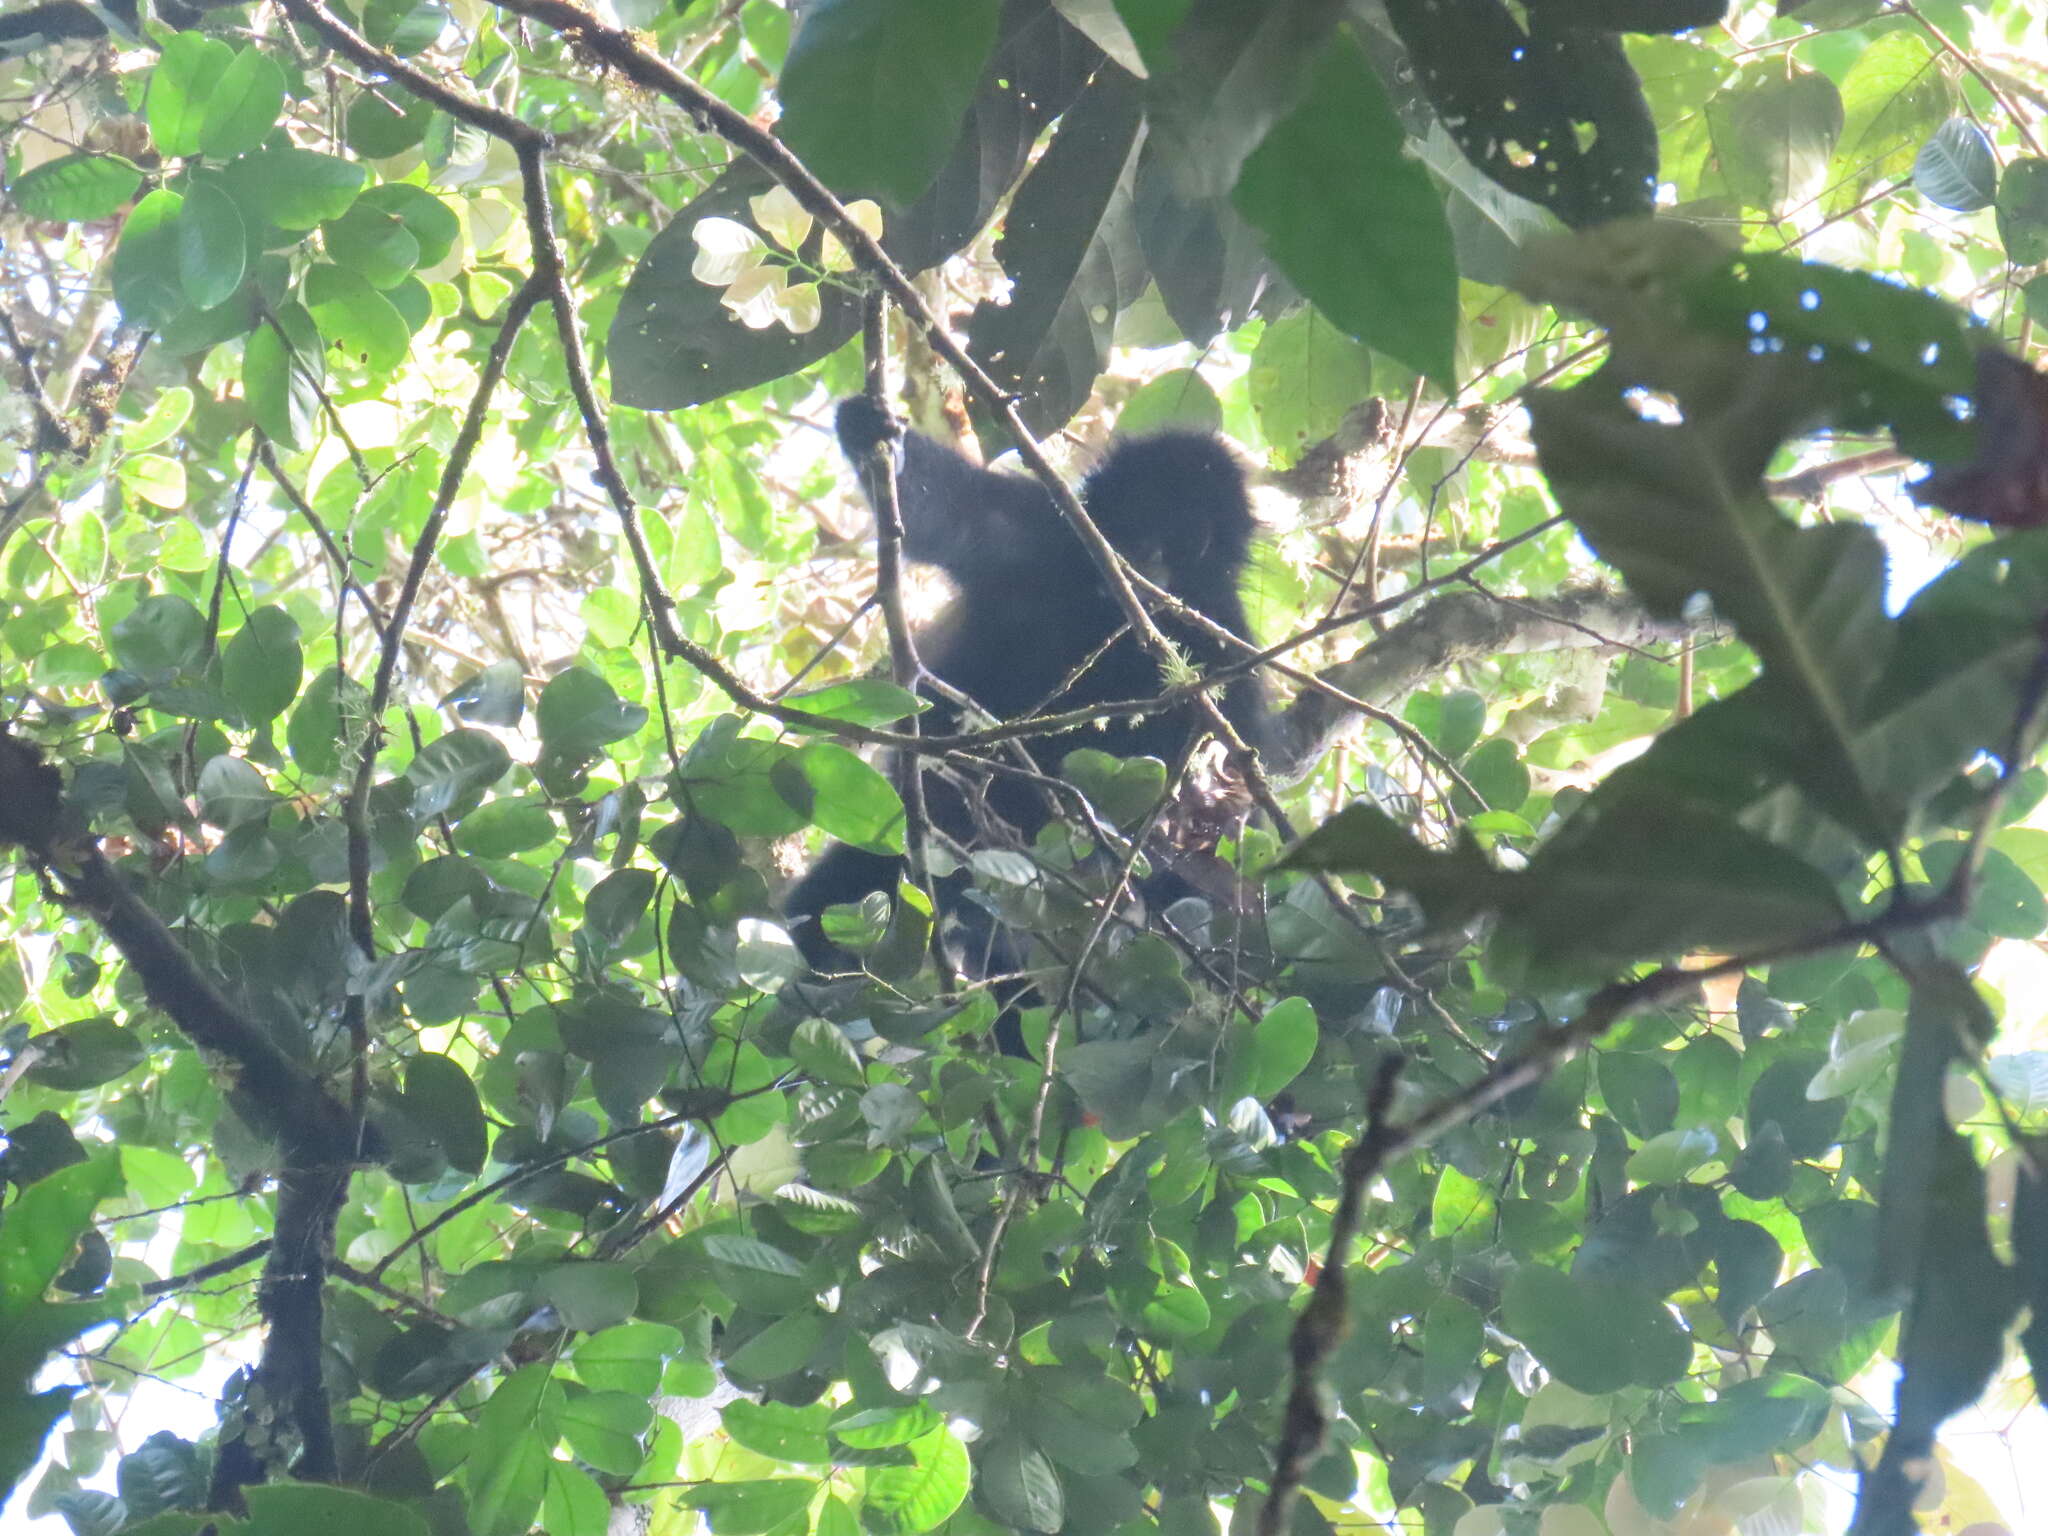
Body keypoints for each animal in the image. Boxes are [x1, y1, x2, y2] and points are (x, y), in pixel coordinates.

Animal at [778, 397, 1261, 991]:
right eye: (1135, 516)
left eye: (1190, 539)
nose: (1145, 562)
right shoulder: (1044, 532)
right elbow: (958, 516)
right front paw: (872, 428)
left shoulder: (1226, 642)